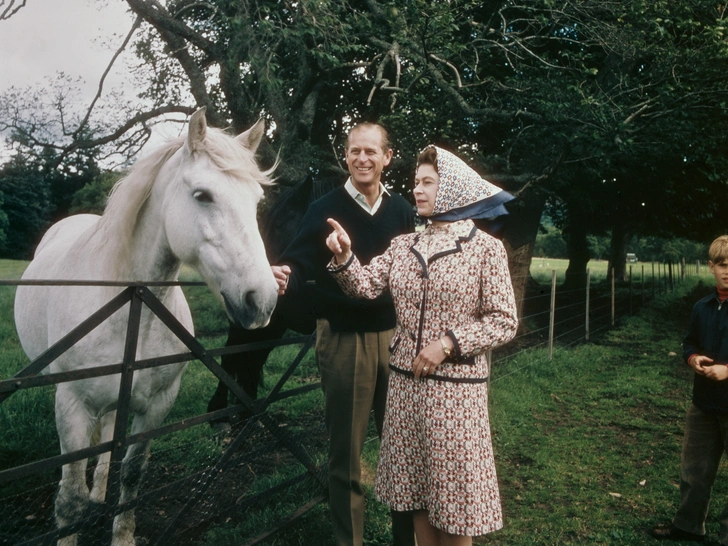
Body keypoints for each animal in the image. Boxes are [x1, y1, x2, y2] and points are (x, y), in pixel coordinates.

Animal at [12, 107, 278, 544]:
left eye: (257, 200)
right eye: (202, 195)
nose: (264, 300)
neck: (133, 307)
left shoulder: (157, 405)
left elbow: (133, 475)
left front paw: (122, 534)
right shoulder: (72, 405)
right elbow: (69, 497)